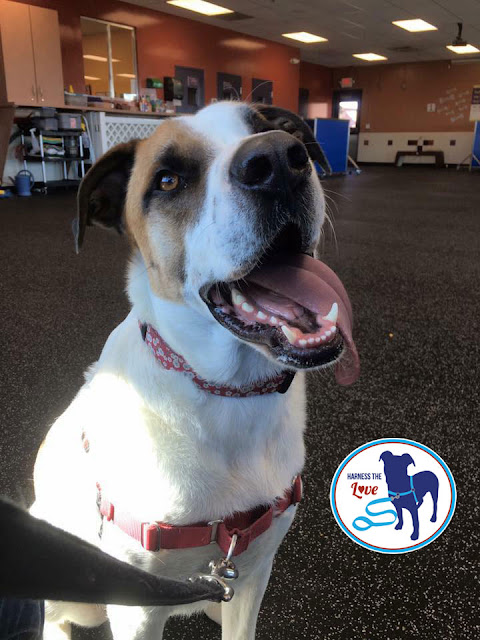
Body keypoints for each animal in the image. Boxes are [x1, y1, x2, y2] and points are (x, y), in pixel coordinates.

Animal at [31, 102, 360, 636]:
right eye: (167, 180)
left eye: (271, 129)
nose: (279, 159)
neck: (228, 394)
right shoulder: (137, 605)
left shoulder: (253, 572)